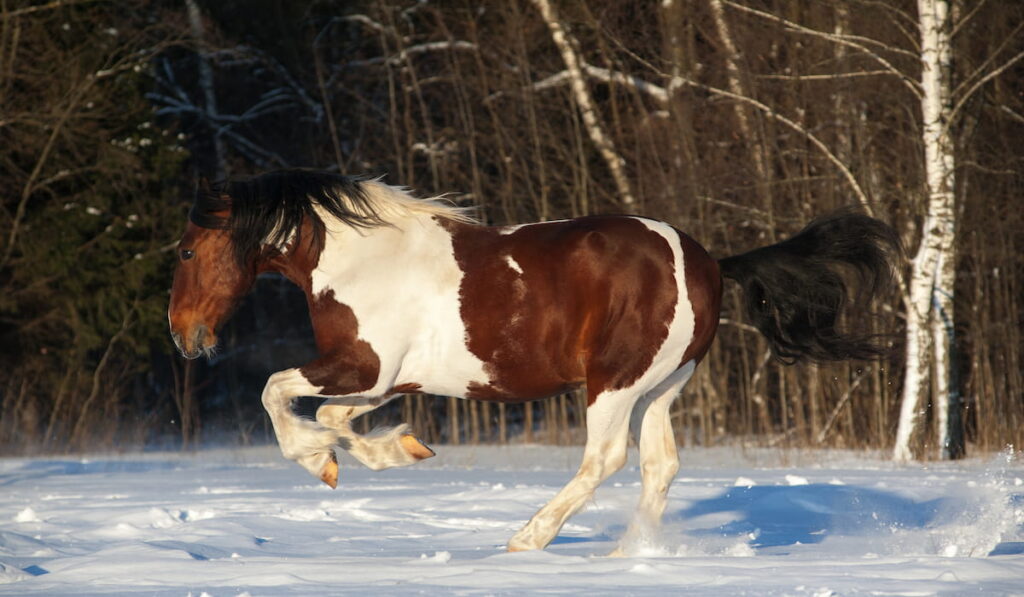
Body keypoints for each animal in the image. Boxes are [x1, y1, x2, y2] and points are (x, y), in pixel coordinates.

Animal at [169, 167, 897, 552]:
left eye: (185, 249)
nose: (184, 335)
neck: (358, 258)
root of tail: (710, 261)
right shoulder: (382, 381)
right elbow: (335, 419)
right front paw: (396, 450)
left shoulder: (362, 366)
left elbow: (275, 391)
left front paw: (318, 461)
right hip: (661, 387)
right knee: (659, 465)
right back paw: (633, 552)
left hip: (614, 383)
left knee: (605, 458)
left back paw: (529, 538)